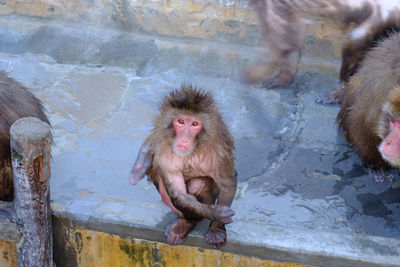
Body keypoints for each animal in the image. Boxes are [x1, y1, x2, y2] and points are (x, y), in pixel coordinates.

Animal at [130, 85, 238, 249]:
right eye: (180, 121)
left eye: (194, 124)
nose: (184, 140)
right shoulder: (164, 155)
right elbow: (179, 193)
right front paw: (216, 213)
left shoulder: (219, 152)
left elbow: (227, 182)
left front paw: (217, 228)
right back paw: (185, 223)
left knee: (198, 183)